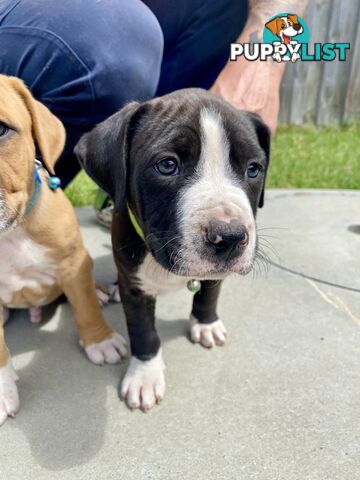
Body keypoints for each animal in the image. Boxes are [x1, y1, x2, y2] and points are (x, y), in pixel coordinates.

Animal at [74, 88, 268, 410]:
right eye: (167, 165)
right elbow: (143, 331)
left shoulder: (215, 273)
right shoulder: (135, 285)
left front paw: (205, 323)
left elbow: (209, 292)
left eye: (253, 169)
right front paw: (144, 376)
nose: (229, 237)